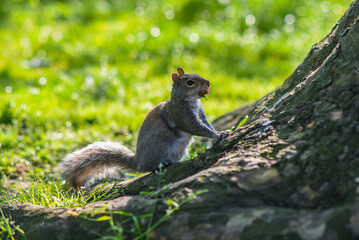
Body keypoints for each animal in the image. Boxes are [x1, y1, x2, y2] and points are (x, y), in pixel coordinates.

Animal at [59, 67, 228, 188]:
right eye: (190, 82)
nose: (208, 83)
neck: (188, 100)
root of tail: (138, 162)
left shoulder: (201, 114)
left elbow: (207, 125)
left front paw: (221, 131)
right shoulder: (182, 116)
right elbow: (199, 129)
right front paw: (218, 135)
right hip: (160, 147)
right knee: (149, 168)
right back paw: (162, 165)